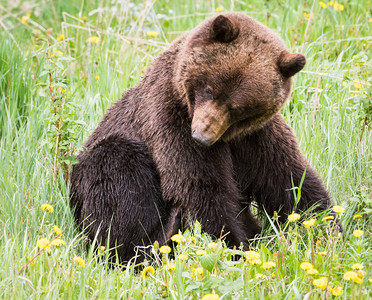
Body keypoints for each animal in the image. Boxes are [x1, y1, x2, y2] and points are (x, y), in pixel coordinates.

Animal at [70, 12, 332, 262]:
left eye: (239, 108)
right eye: (210, 90)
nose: (201, 136)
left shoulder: (256, 136)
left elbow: (291, 181)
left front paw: (326, 229)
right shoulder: (169, 119)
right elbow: (200, 188)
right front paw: (234, 250)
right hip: (98, 168)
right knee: (117, 175)